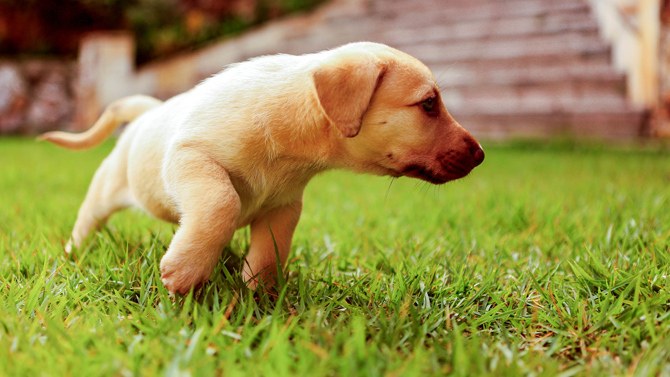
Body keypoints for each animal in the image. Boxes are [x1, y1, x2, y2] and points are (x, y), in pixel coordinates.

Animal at [40, 41, 484, 294]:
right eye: (429, 104)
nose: (480, 155)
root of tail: (146, 113)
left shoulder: (284, 206)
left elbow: (271, 250)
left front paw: (261, 294)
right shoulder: (192, 157)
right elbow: (221, 204)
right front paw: (186, 272)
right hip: (104, 191)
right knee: (86, 222)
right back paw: (74, 253)